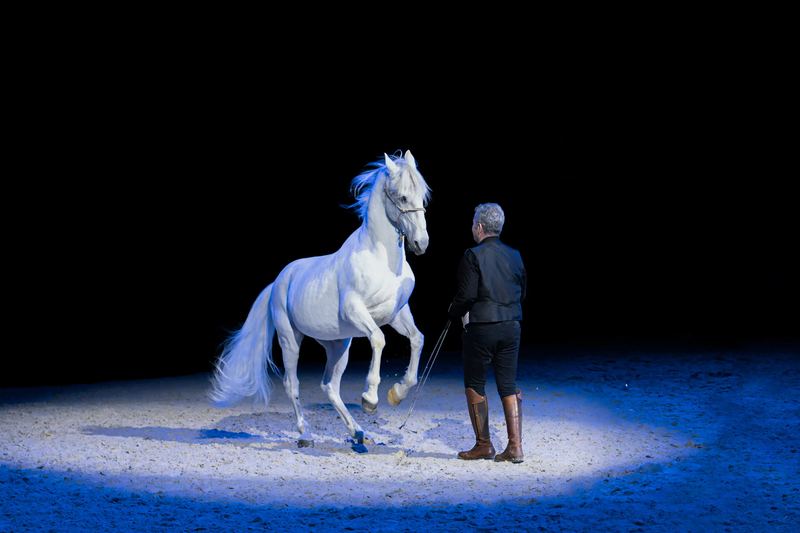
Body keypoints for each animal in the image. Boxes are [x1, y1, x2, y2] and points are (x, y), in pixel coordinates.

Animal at [209, 150, 430, 446]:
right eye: (402, 196)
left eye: (422, 196)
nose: (421, 243)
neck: (383, 261)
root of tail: (278, 281)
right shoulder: (356, 311)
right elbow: (378, 339)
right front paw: (370, 398)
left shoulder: (396, 313)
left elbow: (417, 339)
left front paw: (397, 393)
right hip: (290, 339)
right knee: (292, 384)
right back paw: (306, 434)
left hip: (338, 344)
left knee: (330, 386)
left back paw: (358, 433)